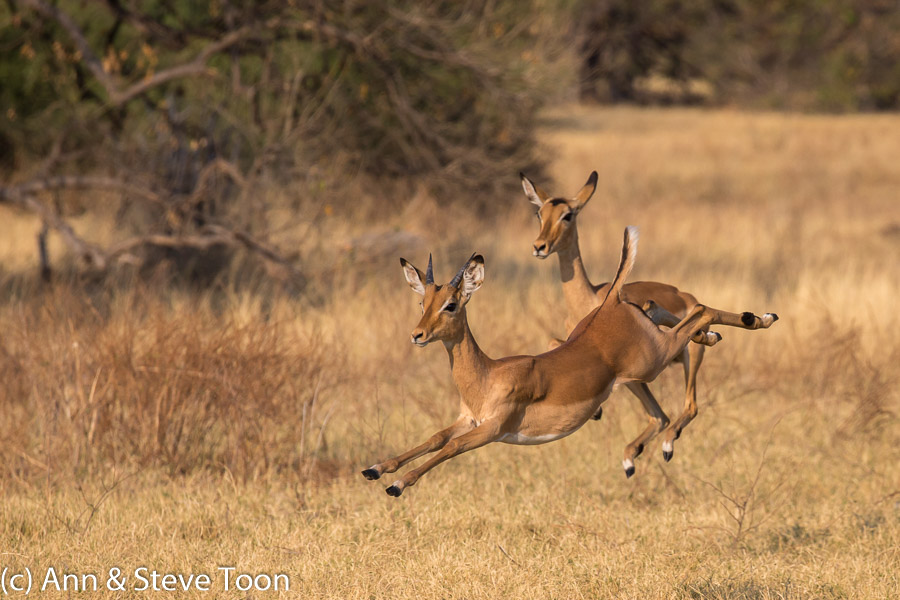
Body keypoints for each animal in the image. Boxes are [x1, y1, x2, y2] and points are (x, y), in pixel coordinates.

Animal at [361, 227, 777, 496]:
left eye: (450, 304)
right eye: (422, 302)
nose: (417, 335)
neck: (487, 376)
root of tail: (609, 304)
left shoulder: (491, 429)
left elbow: (449, 449)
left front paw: (397, 485)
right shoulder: (468, 419)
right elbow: (434, 438)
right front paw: (375, 468)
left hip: (653, 361)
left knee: (701, 311)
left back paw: (758, 319)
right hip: (645, 357)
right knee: (662, 315)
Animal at [521, 171, 776, 472]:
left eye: (568, 215)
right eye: (539, 213)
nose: (539, 246)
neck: (592, 297)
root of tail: (683, 293)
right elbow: (552, 341)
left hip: (683, 361)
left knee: (687, 406)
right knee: (664, 408)